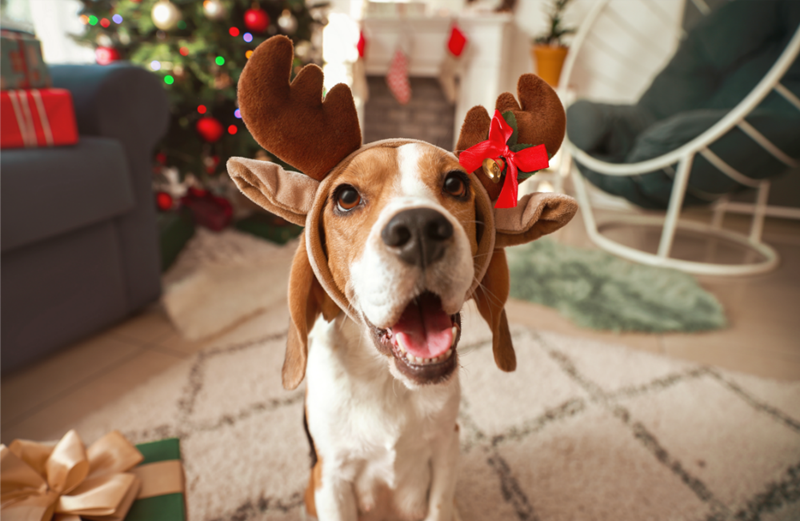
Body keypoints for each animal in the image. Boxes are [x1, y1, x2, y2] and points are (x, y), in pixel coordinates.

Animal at [225, 36, 576, 520]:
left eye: (456, 184)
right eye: (346, 197)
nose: (420, 230)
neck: (390, 382)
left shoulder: (447, 448)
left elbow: (439, 503)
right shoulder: (330, 478)